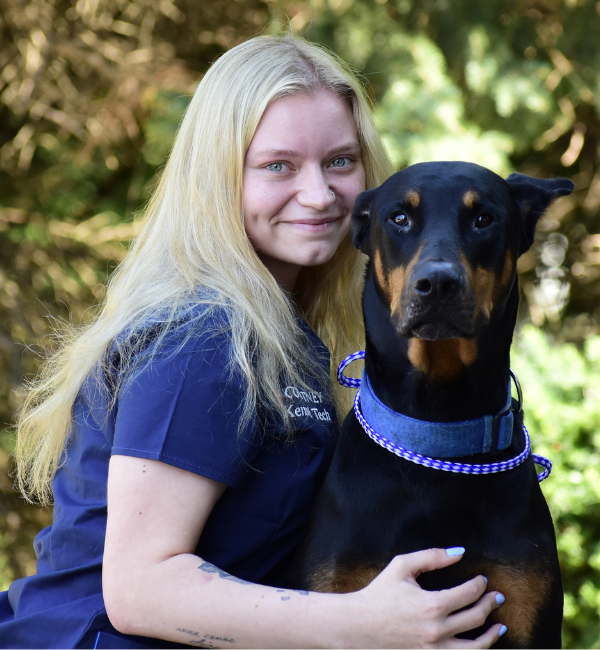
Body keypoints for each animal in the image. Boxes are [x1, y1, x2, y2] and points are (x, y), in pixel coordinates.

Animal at [292, 162, 576, 648]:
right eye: (399, 218)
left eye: (483, 218)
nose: (438, 284)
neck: (438, 432)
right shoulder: (339, 597)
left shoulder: (527, 607)